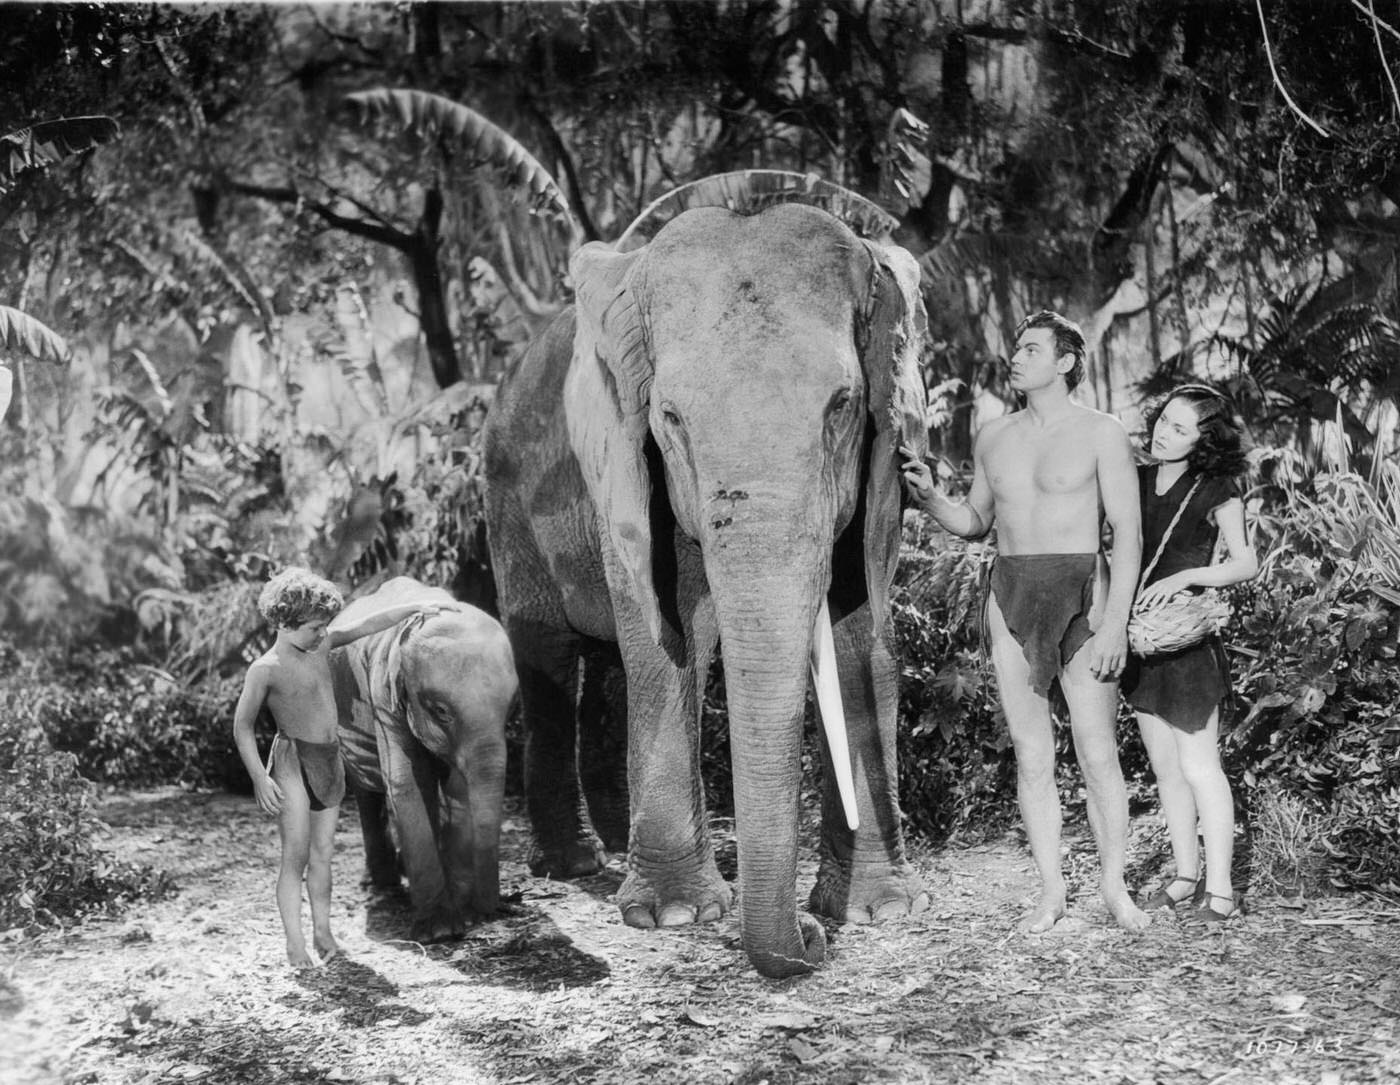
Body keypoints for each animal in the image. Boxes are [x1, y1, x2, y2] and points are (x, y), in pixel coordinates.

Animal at [329, 576, 516, 942]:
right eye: (441, 711)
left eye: (510, 709)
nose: (491, 911)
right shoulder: (382, 698)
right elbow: (406, 783)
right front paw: (440, 930)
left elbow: (458, 788)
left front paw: (464, 915)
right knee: (367, 793)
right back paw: (382, 884)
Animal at [482, 191, 931, 978]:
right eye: (671, 418)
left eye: (842, 405)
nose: (810, 940)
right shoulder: (625, 468)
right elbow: (671, 639)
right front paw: (676, 915)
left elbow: (862, 631)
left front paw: (875, 910)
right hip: (509, 513)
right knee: (551, 660)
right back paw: (573, 865)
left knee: (608, 670)